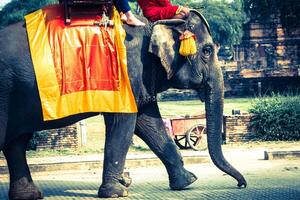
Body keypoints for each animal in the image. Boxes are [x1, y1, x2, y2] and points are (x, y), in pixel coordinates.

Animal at [0, 9, 246, 200]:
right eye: (207, 50)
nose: (241, 184)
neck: (152, 25)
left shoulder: (141, 78)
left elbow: (148, 122)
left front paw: (188, 181)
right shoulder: (126, 72)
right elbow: (125, 121)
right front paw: (117, 192)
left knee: (16, 143)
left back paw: (29, 195)